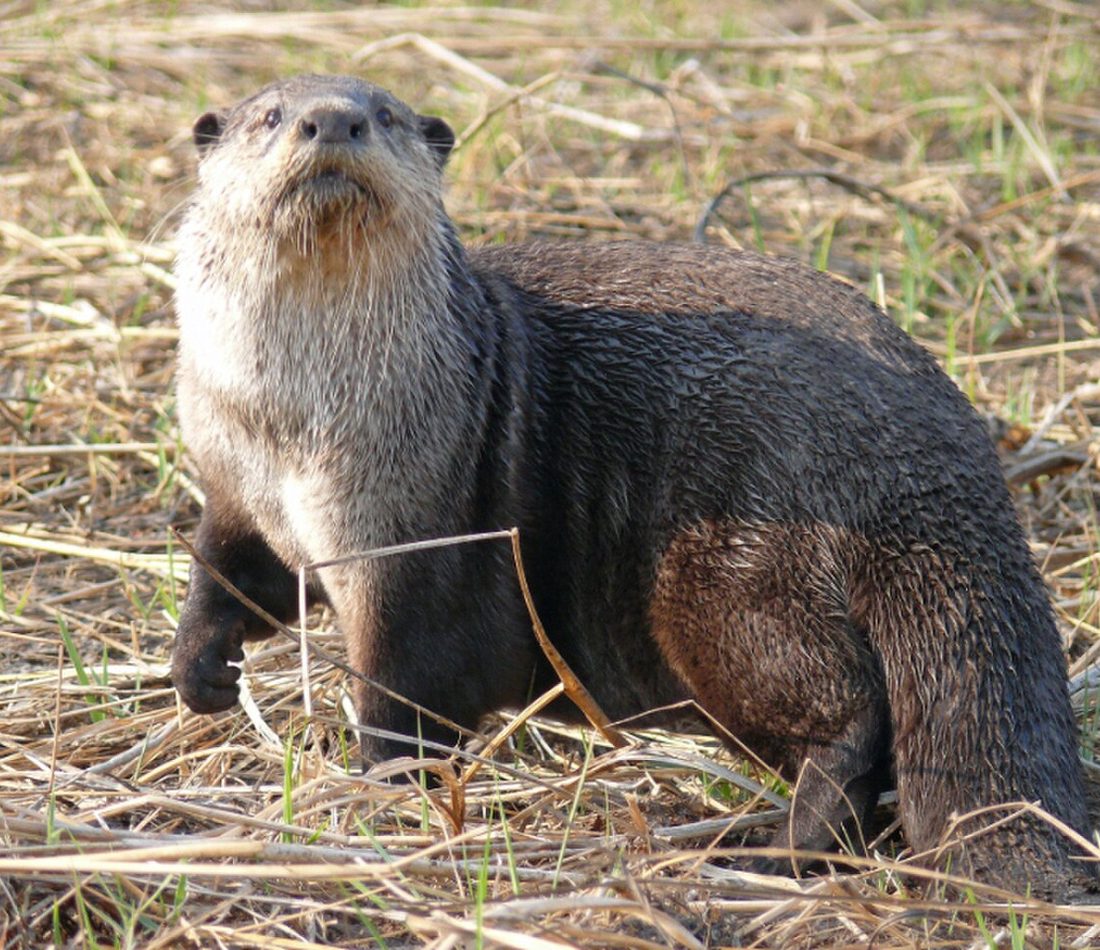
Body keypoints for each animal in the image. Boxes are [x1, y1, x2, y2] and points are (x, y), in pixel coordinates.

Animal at [169, 74, 1092, 897]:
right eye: (271, 115)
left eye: (385, 115)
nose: (332, 121)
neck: (298, 432)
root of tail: (939, 461)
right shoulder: (235, 484)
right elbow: (226, 573)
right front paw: (200, 673)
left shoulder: (416, 538)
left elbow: (406, 684)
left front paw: (387, 793)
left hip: (734, 577)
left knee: (846, 715)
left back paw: (775, 852)